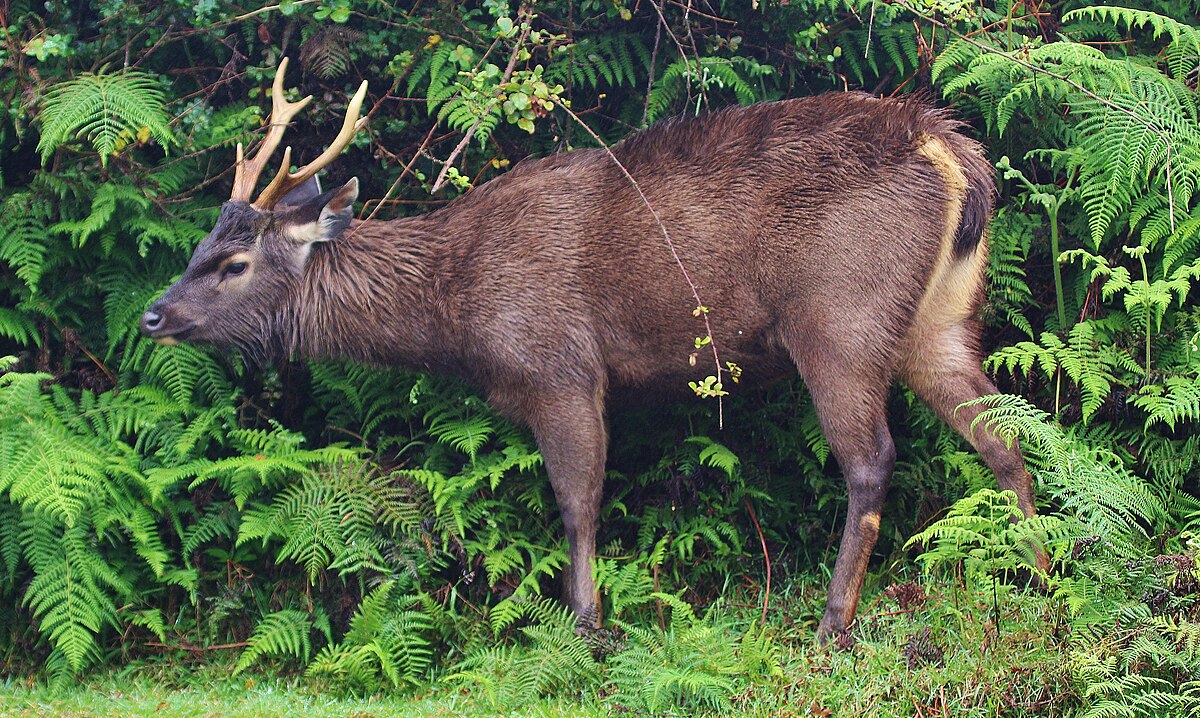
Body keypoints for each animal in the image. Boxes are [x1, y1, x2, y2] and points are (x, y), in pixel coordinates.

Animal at [140, 61, 1041, 643]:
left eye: (233, 262)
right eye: (200, 245)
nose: (152, 316)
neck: (458, 316)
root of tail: (953, 153)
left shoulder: (558, 366)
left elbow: (578, 500)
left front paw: (587, 627)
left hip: (838, 313)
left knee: (871, 459)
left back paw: (833, 623)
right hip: (937, 319)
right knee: (1006, 435)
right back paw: (1040, 570)